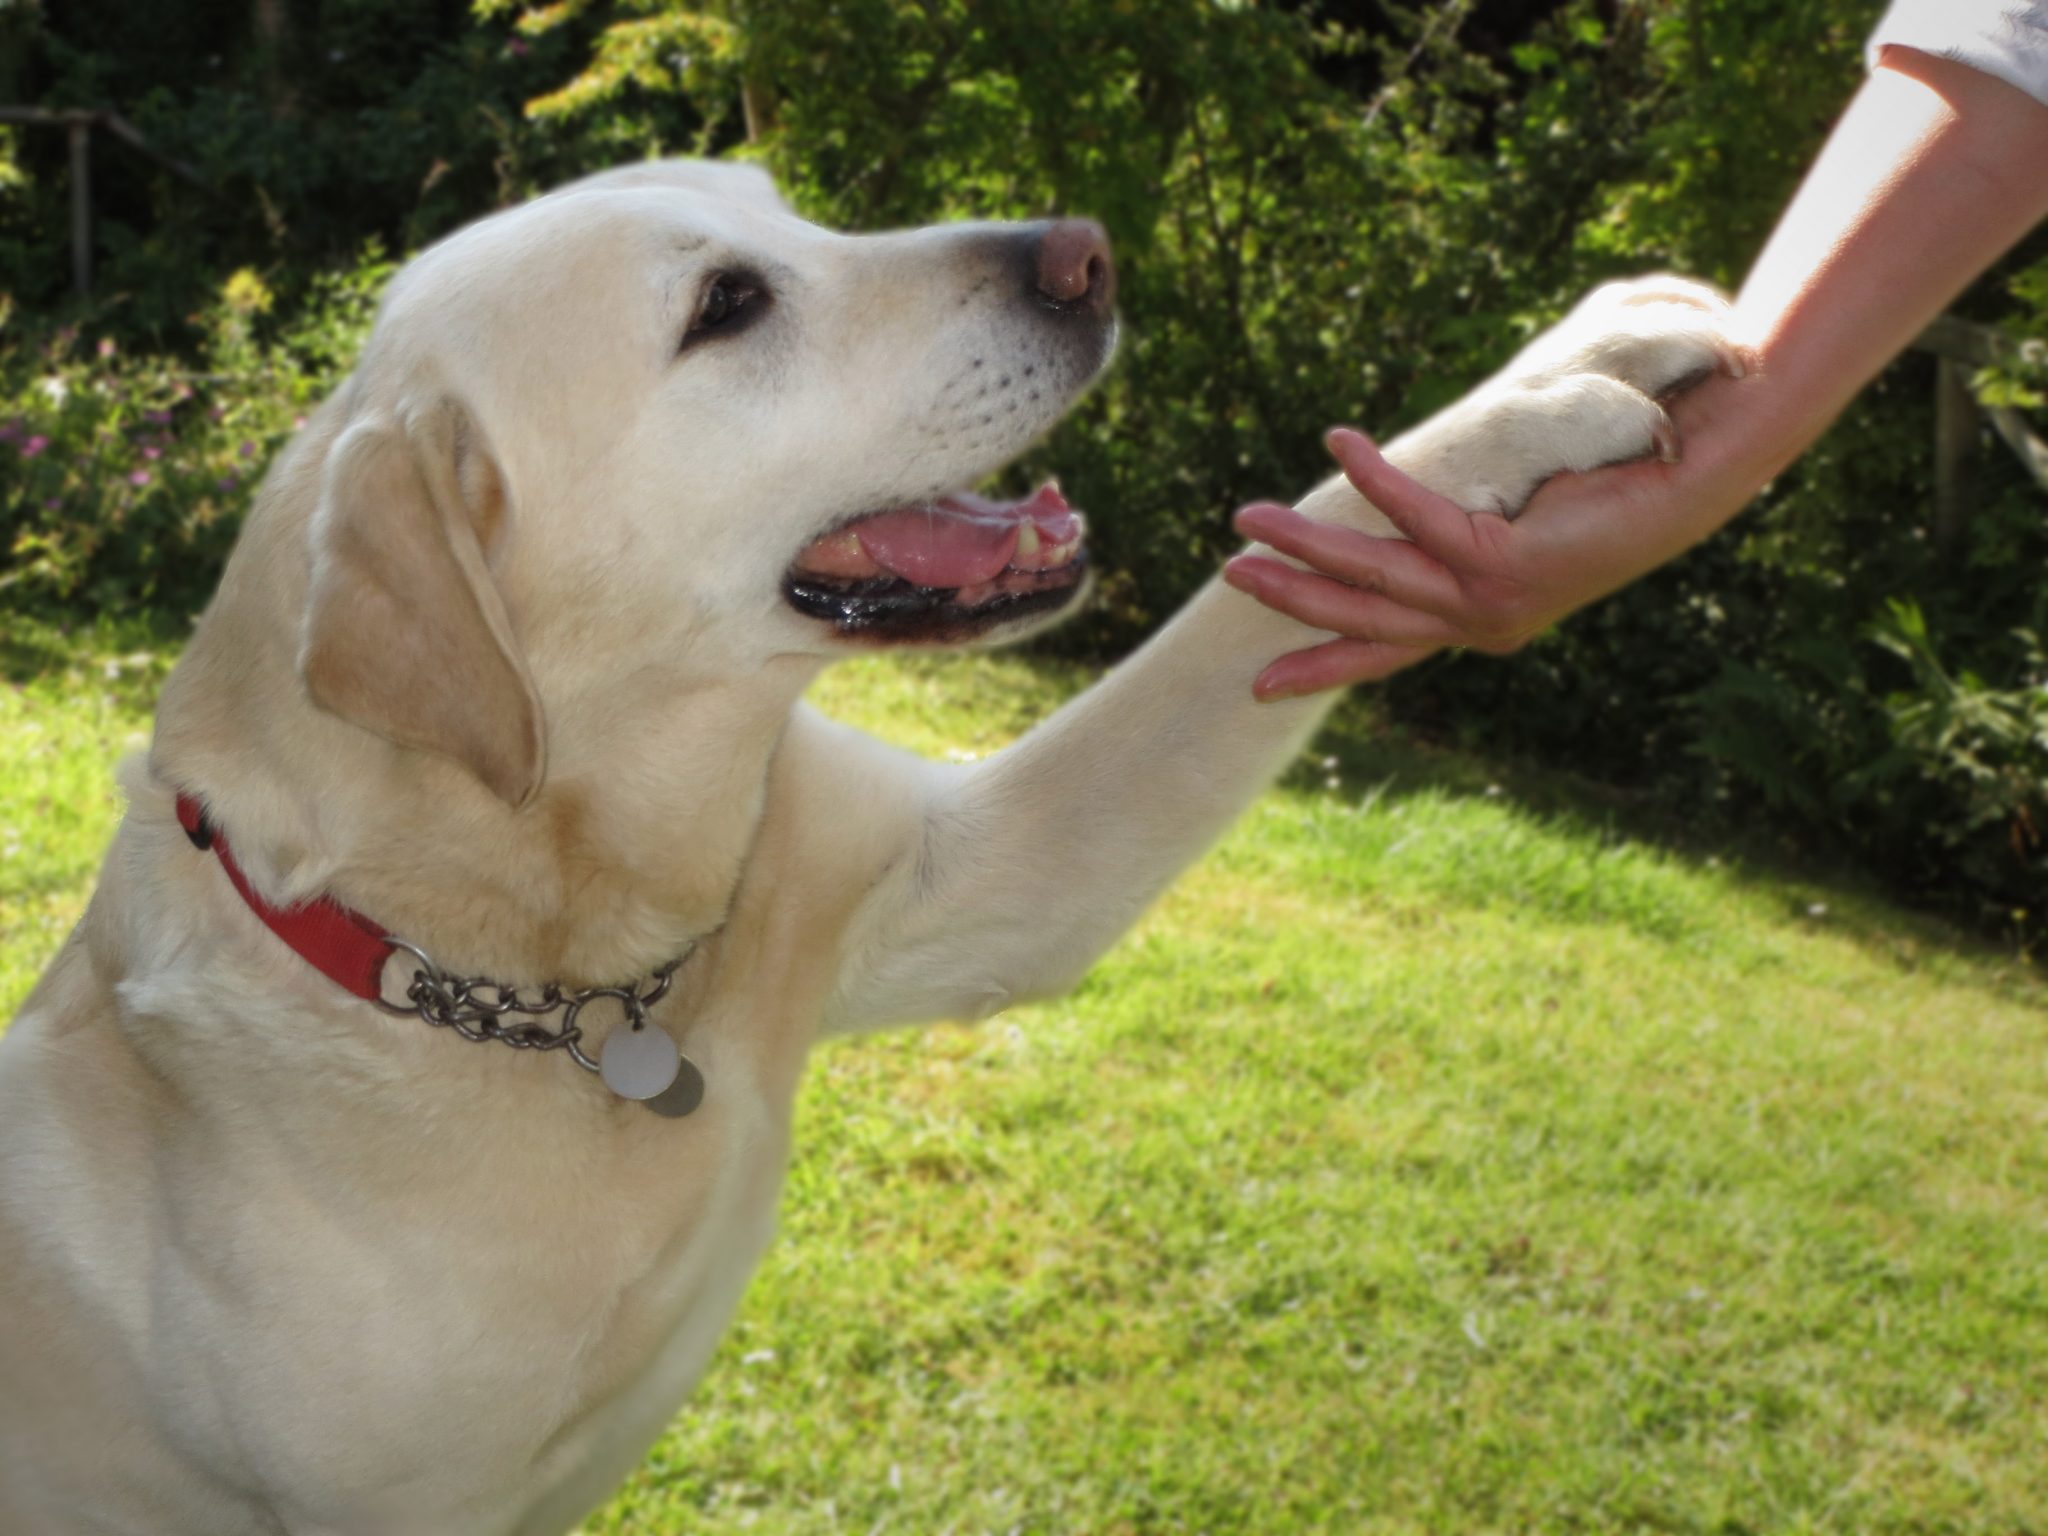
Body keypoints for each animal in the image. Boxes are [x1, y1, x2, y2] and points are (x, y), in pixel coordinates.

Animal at [0, 162, 1744, 1531]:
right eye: (726, 305)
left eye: (787, 207)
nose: (1087, 251)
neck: (553, 981)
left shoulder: (983, 870)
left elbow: (1272, 569)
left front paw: (1568, 371)